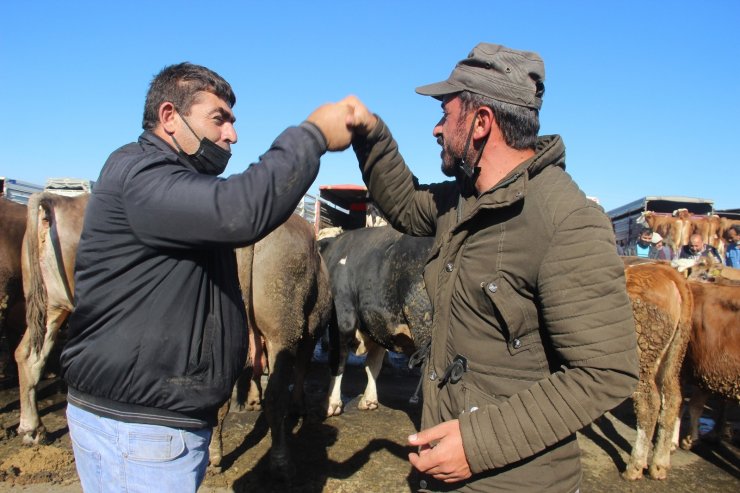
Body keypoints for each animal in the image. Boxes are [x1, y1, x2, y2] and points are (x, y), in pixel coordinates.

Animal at [318, 227, 434, 416]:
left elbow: (338, 360)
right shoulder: (379, 322)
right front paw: (369, 400)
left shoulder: (342, 318)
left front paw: (331, 404)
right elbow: (373, 365)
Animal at [624, 262, 692, 480]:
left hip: (640, 359)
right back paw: (659, 464)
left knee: (649, 404)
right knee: (672, 399)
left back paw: (635, 467)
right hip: (670, 360)